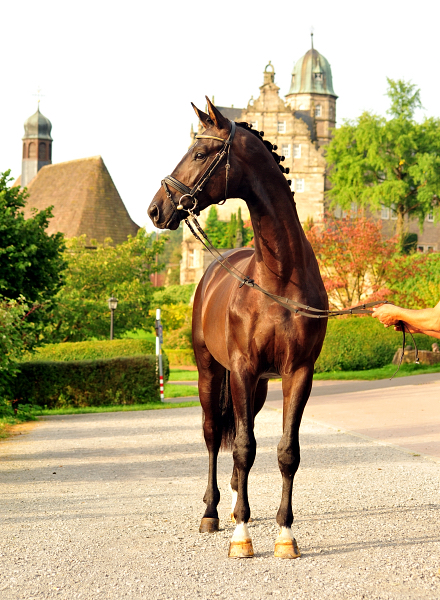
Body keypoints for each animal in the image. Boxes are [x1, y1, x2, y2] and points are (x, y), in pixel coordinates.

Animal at [148, 97, 326, 556]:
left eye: (199, 153)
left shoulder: (297, 373)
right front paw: (242, 537)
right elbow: (245, 447)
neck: (278, 278)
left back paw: (231, 505)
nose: (156, 208)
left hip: (257, 387)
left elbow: (286, 452)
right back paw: (212, 512)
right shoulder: (243, 369)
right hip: (211, 373)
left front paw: (285, 534)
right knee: (214, 435)